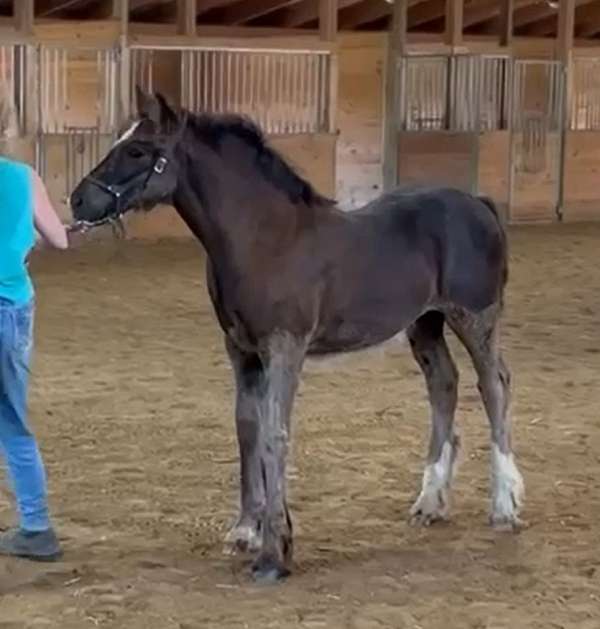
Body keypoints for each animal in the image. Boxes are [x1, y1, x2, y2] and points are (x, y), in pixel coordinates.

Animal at [70, 88, 524, 584]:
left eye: (137, 150)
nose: (77, 201)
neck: (265, 240)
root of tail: (478, 202)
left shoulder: (284, 347)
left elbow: (275, 433)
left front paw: (274, 552)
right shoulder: (242, 351)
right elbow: (247, 428)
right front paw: (246, 531)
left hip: (474, 317)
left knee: (494, 385)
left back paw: (504, 506)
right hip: (425, 323)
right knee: (443, 383)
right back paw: (429, 504)